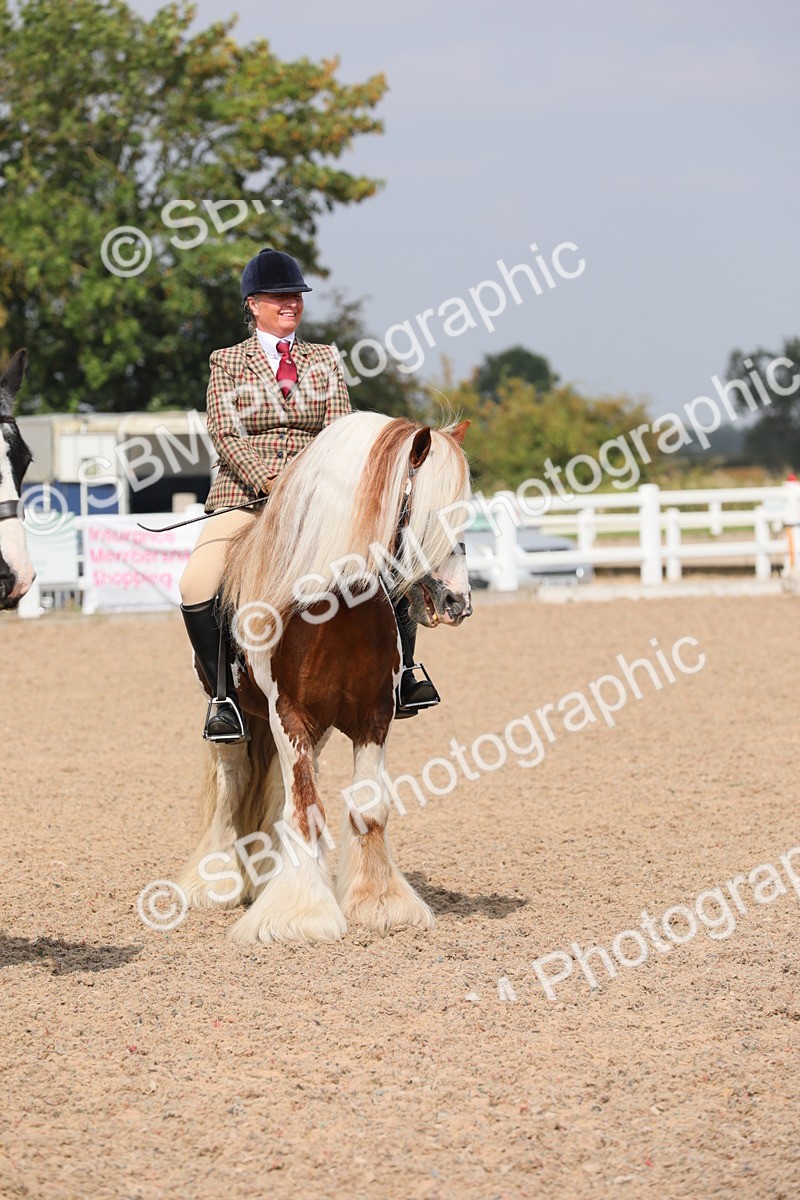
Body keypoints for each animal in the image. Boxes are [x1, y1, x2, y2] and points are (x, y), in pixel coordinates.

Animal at [176, 412, 473, 944]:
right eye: (421, 506)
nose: (458, 600)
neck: (334, 608)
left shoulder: (373, 715)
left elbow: (367, 807)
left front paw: (378, 902)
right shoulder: (288, 714)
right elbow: (305, 809)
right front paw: (300, 915)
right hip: (236, 719)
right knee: (233, 785)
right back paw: (219, 882)